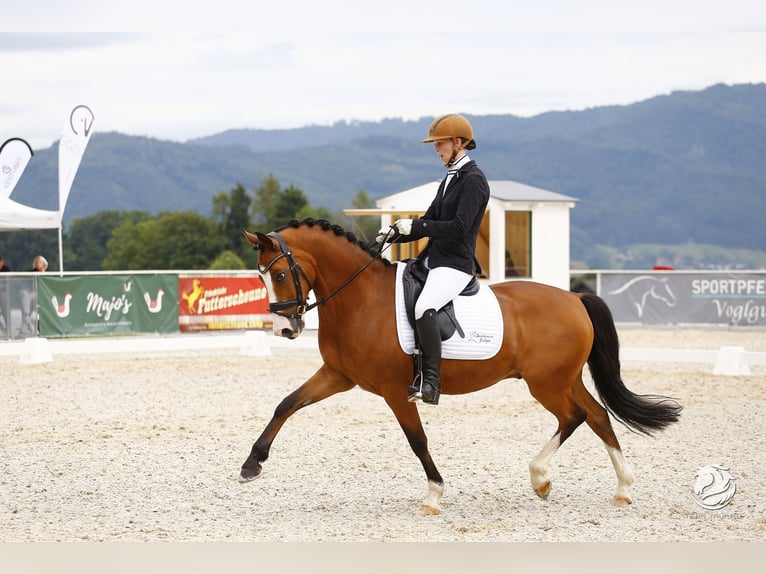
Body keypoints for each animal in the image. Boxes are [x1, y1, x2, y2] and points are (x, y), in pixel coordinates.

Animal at [240, 218, 684, 516]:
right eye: (260, 277)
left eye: (280, 273)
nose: (285, 329)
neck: (361, 299)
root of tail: (574, 298)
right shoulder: (338, 376)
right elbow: (286, 404)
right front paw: (251, 464)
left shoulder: (395, 390)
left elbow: (417, 440)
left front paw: (434, 494)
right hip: (564, 379)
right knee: (598, 415)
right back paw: (622, 488)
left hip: (546, 384)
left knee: (574, 416)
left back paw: (540, 477)